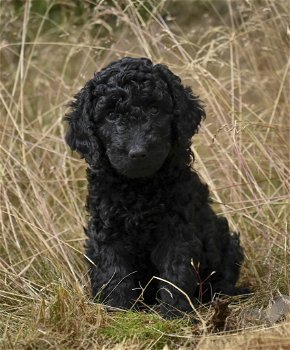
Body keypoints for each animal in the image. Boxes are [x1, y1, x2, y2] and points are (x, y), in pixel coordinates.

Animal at [65, 56, 249, 318]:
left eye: (154, 109)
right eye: (111, 115)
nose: (138, 152)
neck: (139, 188)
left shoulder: (176, 227)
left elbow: (175, 270)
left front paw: (174, 312)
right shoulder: (107, 230)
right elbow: (113, 271)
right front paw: (118, 311)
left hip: (226, 242)